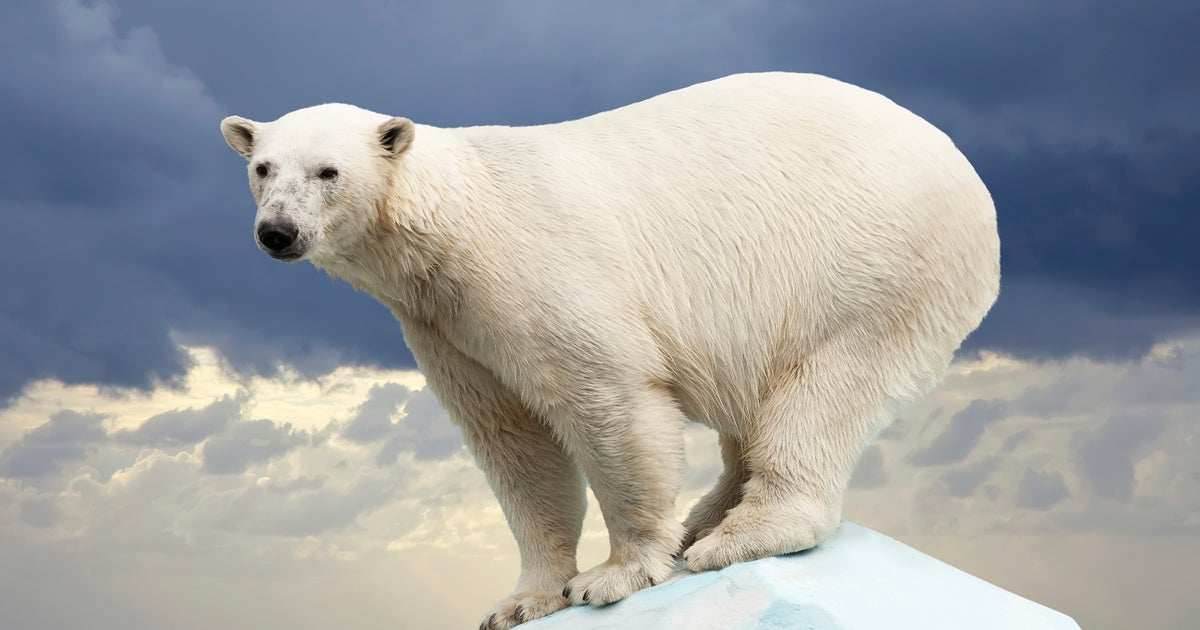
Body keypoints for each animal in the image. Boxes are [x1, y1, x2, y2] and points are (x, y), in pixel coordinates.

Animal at [220, 71, 1000, 629]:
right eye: (263, 167)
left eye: (328, 171)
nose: (277, 232)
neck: (457, 226)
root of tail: (968, 173)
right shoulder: (446, 326)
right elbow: (512, 441)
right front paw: (522, 600)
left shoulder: (540, 273)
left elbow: (607, 400)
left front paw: (614, 574)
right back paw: (708, 517)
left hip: (872, 266)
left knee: (826, 389)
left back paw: (736, 535)